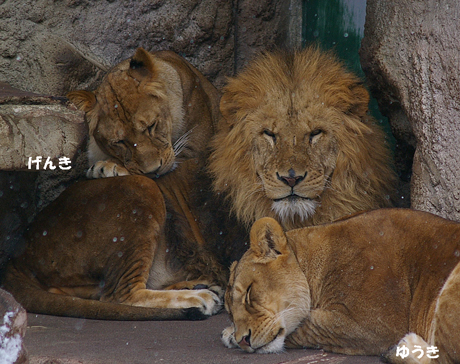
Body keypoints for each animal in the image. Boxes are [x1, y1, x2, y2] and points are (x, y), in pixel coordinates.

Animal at [1, 47, 228, 318]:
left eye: (151, 126)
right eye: (120, 142)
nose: (153, 170)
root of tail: (15, 259)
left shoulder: (197, 152)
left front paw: (106, 168)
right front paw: (106, 166)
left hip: (144, 188)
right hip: (142, 190)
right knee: (119, 295)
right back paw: (197, 295)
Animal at [223, 209, 460, 362]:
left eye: (248, 293)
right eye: (230, 312)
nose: (243, 341)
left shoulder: (375, 324)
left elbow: (308, 324)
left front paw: (229, 335)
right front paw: (230, 333)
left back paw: (404, 349)